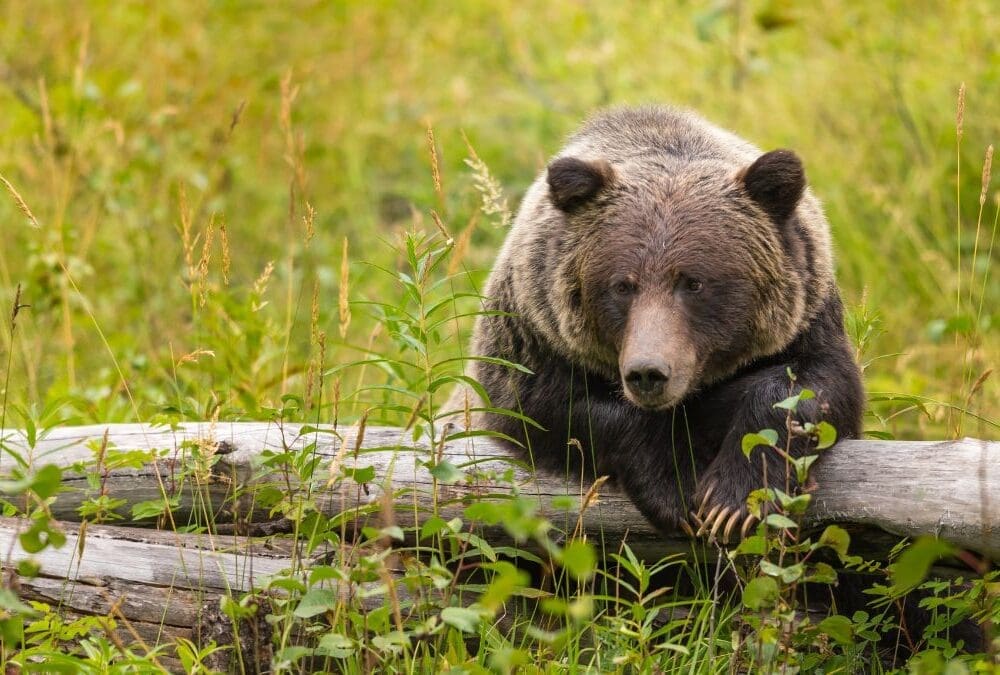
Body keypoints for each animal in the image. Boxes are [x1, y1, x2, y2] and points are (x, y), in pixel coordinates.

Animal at [454, 105, 865, 541]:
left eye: (693, 282)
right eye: (622, 285)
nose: (648, 373)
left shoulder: (808, 322)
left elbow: (810, 387)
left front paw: (731, 501)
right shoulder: (534, 337)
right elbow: (552, 410)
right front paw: (678, 490)